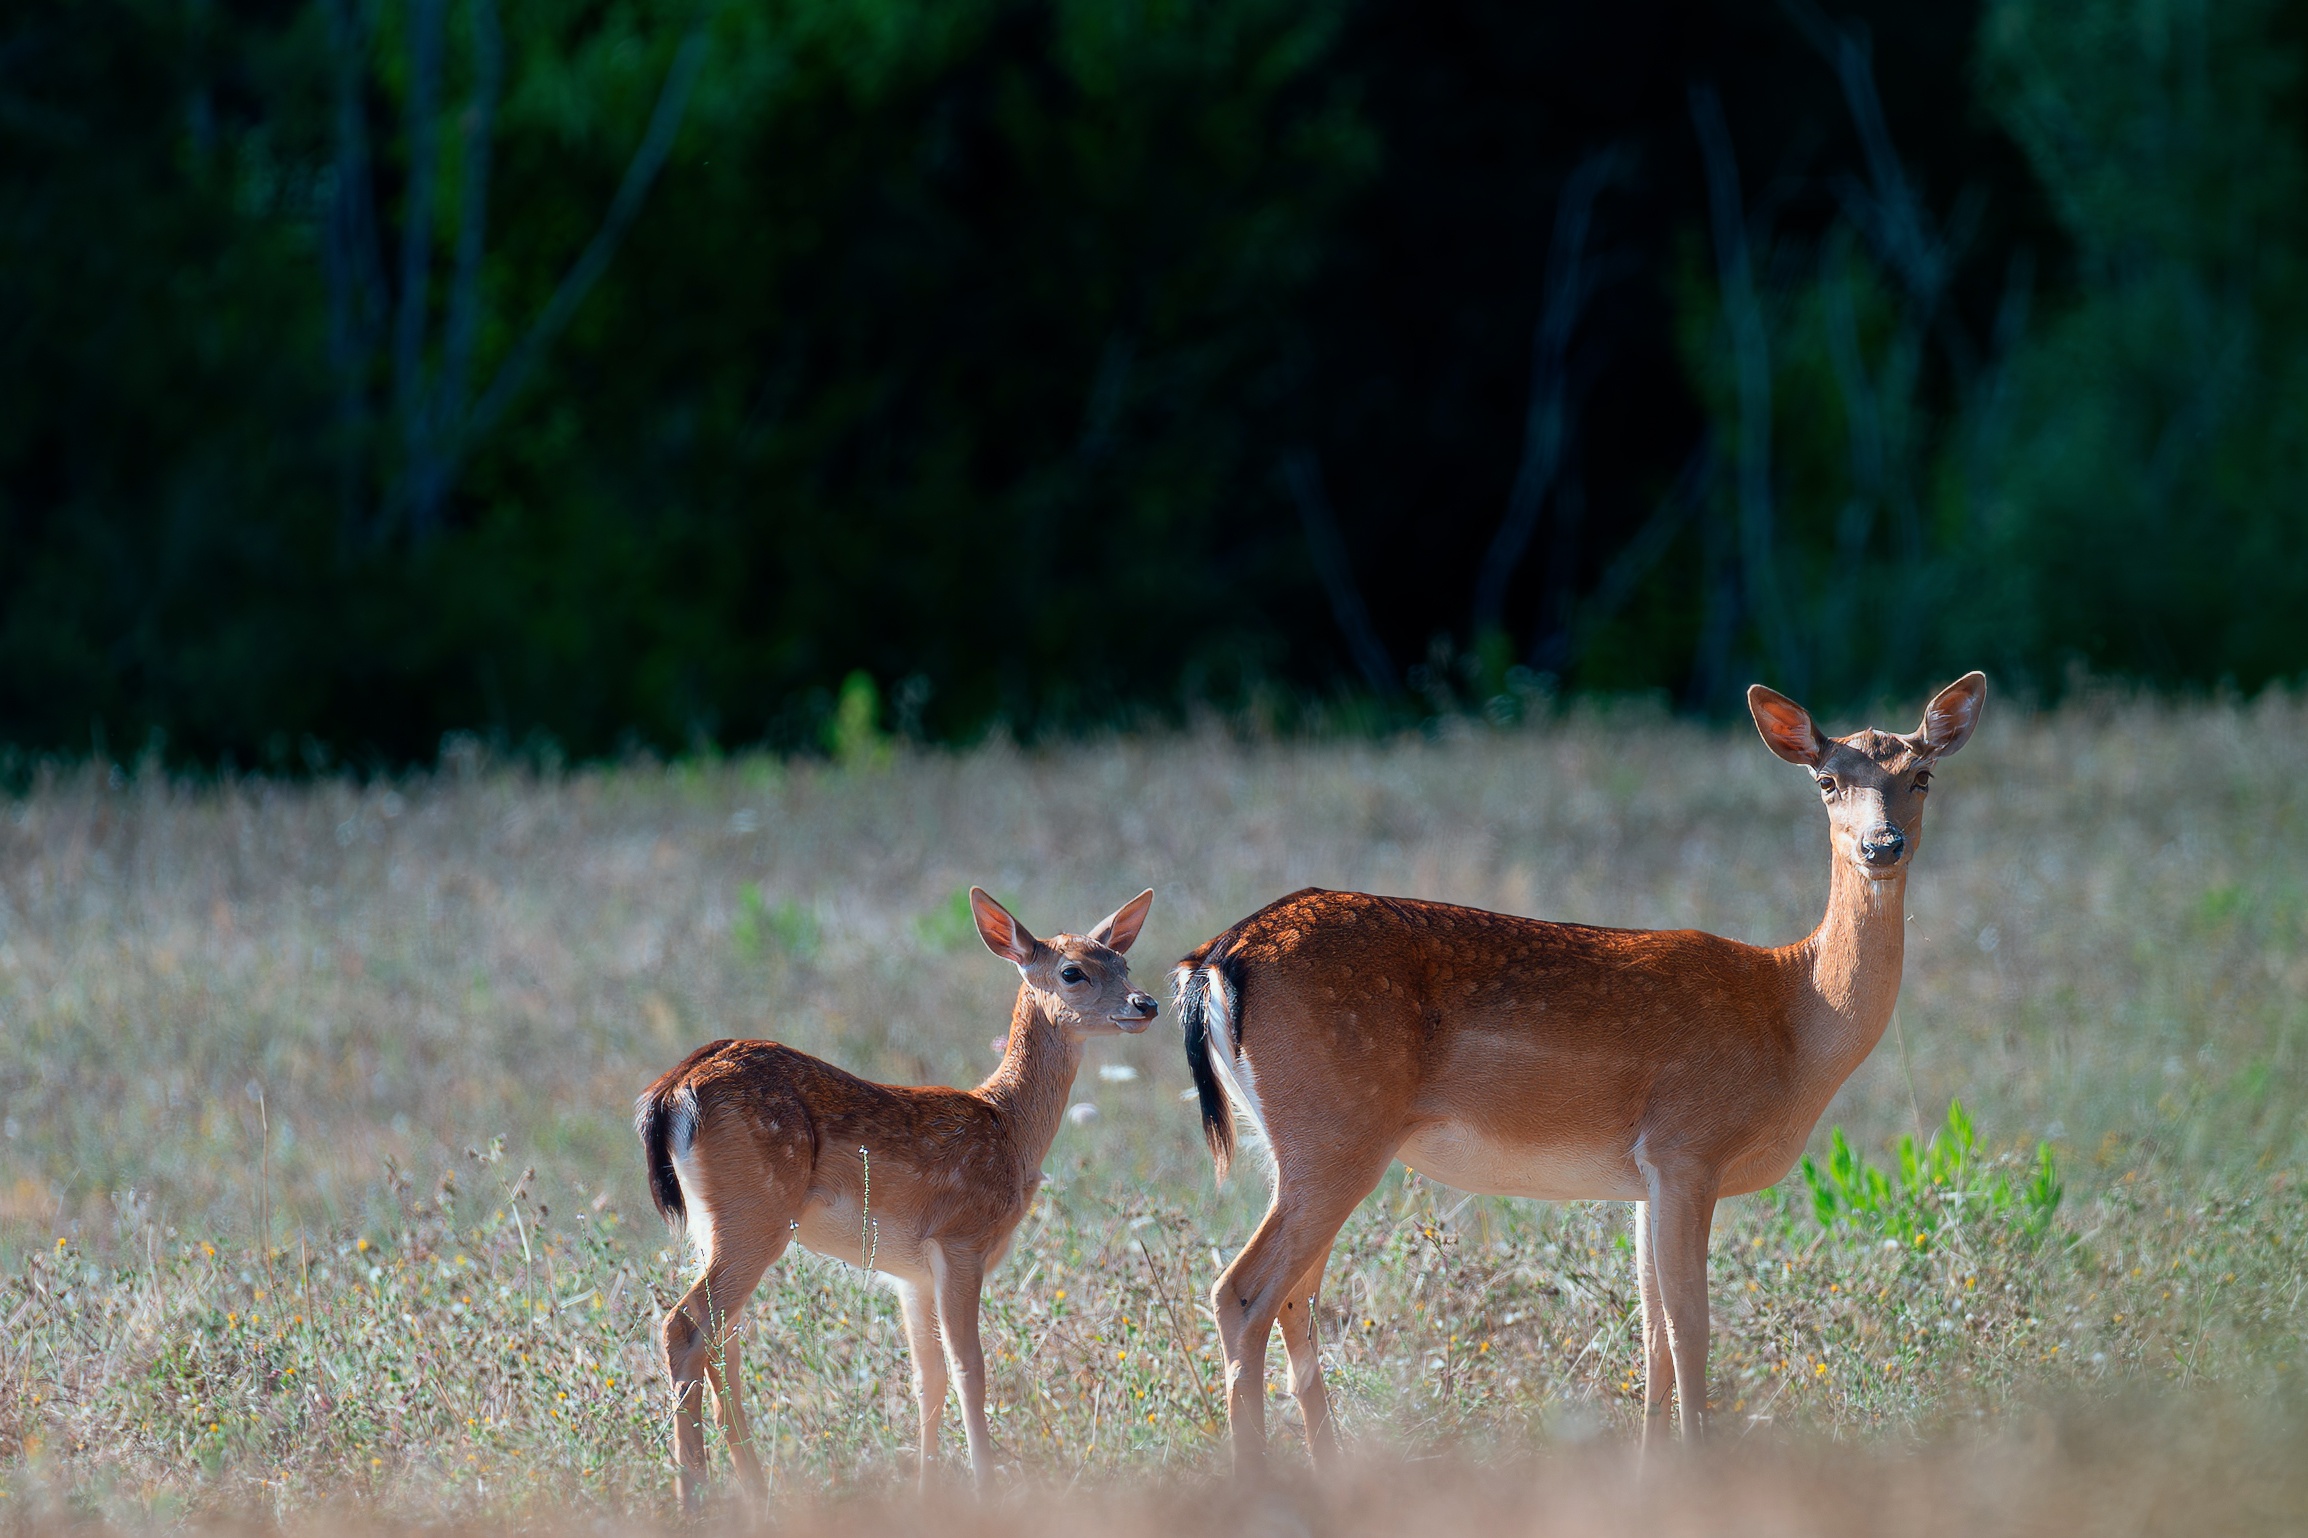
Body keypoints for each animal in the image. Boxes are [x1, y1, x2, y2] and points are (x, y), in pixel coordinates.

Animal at [635, 886, 1158, 1509]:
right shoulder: (960, 1241)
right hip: (755, 1214)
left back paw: (752, 1494)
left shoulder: (910, 1274)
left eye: (1123, 961)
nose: (1147, 1003)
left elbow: (926, 1379)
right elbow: (969, 1368)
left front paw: (926, 1493)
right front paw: (985, 1489)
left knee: (721, 1340)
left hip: (714, 1224)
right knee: (685, 1326)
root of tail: (673, 1089)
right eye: (1073, 971)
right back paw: (694, 1497)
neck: (1009, 1128)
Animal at [1173, 674, 1985, 1468]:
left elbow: (1653, 1334)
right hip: (1337, 1132)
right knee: (1242, 1291)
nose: (1883, 844)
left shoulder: (1646, 1177)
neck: (1795, 1016)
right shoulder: (1688, 1146)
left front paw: (1652, 1473)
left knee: (1293, 1297)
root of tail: (1215, 957)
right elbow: (1691, 1328)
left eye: (1922, 774)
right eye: (1826, 781)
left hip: (1300, 1146)